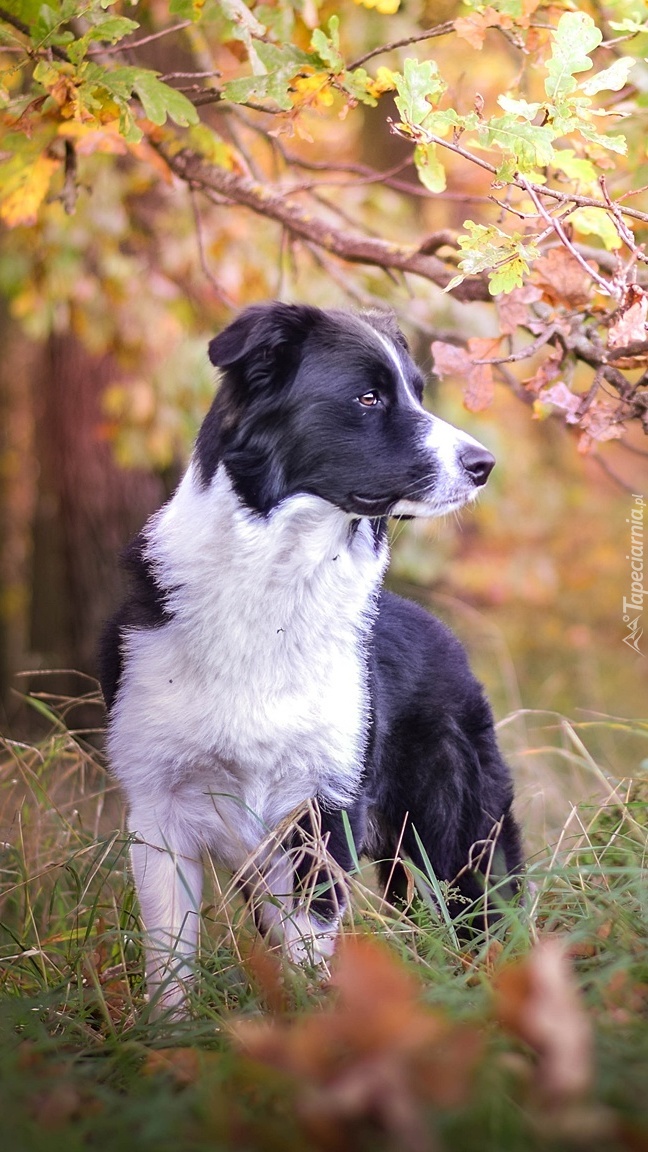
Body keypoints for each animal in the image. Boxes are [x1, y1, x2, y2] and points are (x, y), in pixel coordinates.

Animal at [102, 304, 525, 1009]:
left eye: (417, 391)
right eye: (368, 397)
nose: (484, 463)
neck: (280, 586)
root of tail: (443, 634)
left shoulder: (322, 810)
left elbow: (308, 947)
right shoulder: (158, 813)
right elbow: (170, 962)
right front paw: (168, 1034)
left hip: (457, 836)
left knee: (488, 914)